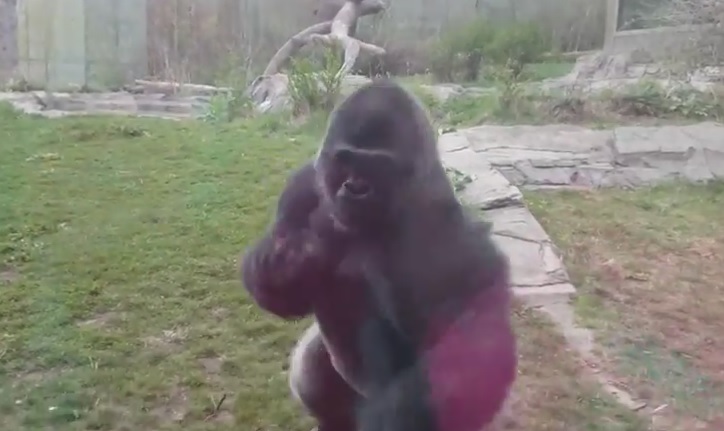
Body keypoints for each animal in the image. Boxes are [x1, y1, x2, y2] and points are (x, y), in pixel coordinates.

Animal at [241, 78, 517, 431]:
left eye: (376, 165)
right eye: (346, 160)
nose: (353, 187)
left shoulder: (445, 223)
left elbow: (472, 340)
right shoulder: (303, 183)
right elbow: (282, 291)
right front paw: (294, 256)